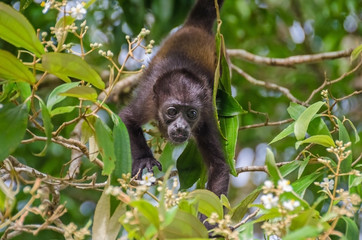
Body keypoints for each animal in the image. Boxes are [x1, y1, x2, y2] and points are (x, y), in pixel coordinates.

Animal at [121, 0, 229, 198]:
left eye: (191, 113)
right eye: (172, 111)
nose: (180, 127)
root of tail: (195, 27)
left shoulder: (205, 117)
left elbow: (218, 166)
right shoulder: (148, 101)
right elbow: (128, 118)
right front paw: (144, 159)